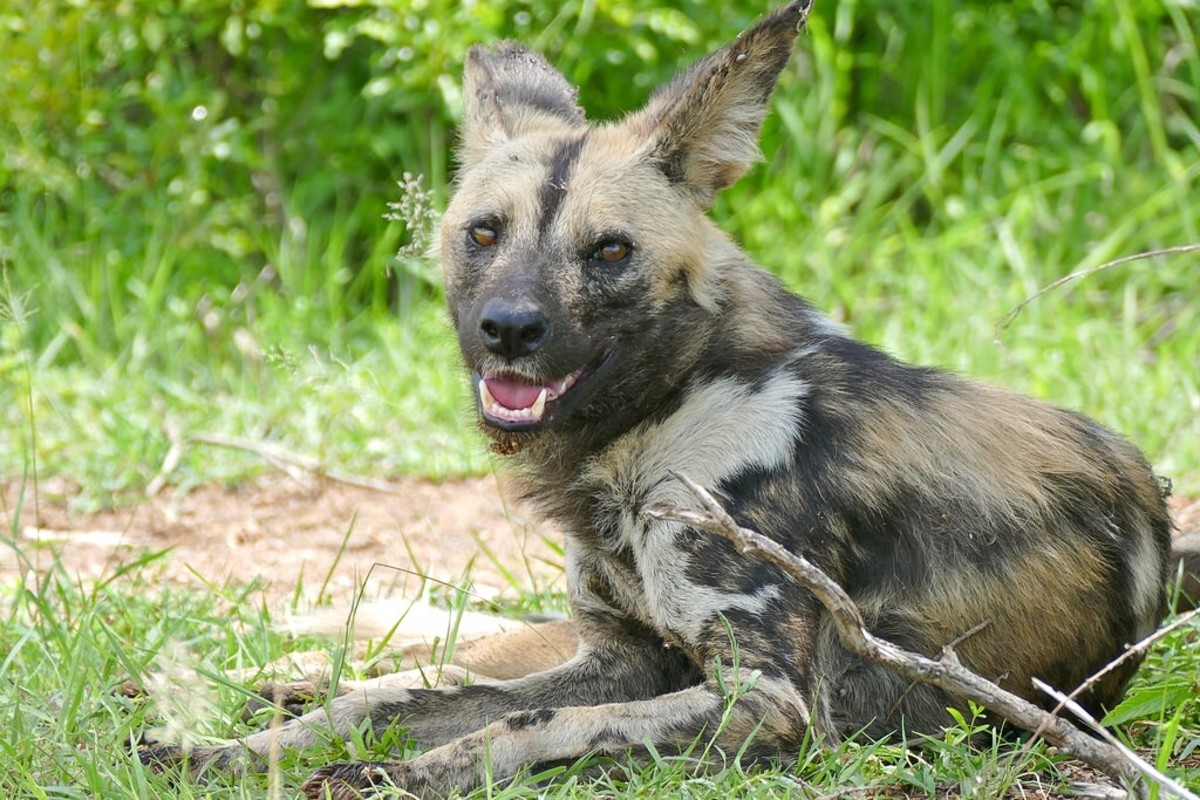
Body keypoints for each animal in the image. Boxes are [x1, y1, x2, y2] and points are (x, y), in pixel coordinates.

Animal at [138, 3, 1171, 796]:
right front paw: (231, 750)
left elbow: (521, 725)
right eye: (483, 234)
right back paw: (269, 682)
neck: (656, 423)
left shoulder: (768, 701)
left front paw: (403, 774)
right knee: (425, 660)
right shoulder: (619, 656)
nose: (509, 329)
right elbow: (385, 702)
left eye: (609, 251)